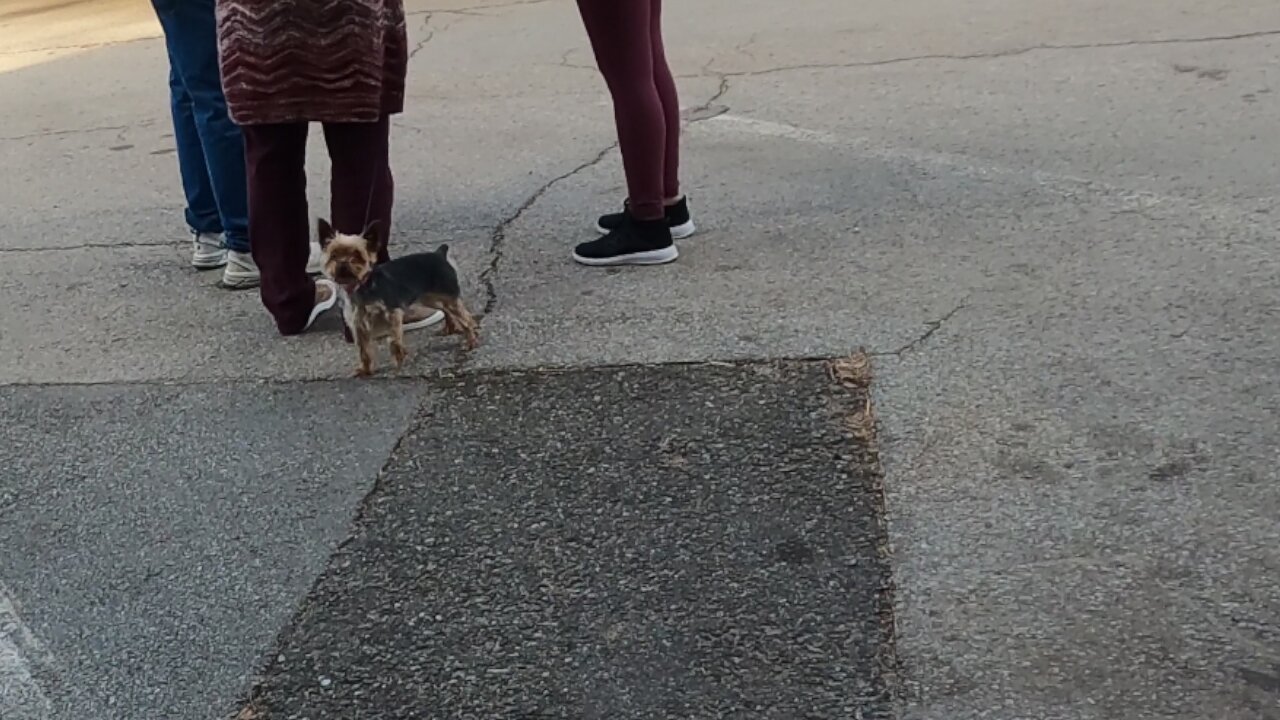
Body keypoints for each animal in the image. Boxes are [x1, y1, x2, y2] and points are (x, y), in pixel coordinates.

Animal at [320, 217, 481, 376]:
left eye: (356, 255)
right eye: (333, 255)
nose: (342, 263)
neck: (361, 286)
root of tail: (439, 254)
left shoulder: (392, 314)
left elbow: (394, 341)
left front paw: (398, 360)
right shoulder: (358, 324)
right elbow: (364, 350)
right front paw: (365, 370)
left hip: (446, 297)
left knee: (466, 318)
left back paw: (471, 341)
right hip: (430, 298)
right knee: (447, 311)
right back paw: (450, 329)